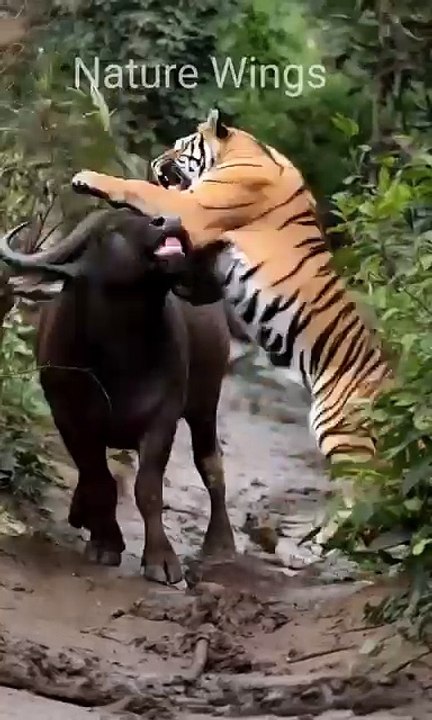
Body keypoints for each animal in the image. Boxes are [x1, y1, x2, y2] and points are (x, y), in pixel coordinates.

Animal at [0, 208, 235, 584]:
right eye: (113, 227)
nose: (168, 221)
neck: (120, 355)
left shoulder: (162, 419)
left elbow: (147, 488)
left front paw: (161, 559)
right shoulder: (69, 416)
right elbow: (100, 479)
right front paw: (106, 541)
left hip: (205, 400)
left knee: (210, 463)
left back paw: (221, 543)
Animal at [71, 108, 393, 461]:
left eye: (179, 148)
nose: (154, 161)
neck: (245, 151)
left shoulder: (193, 208)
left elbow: (141, 189)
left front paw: (88, 178)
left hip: (345, 439)